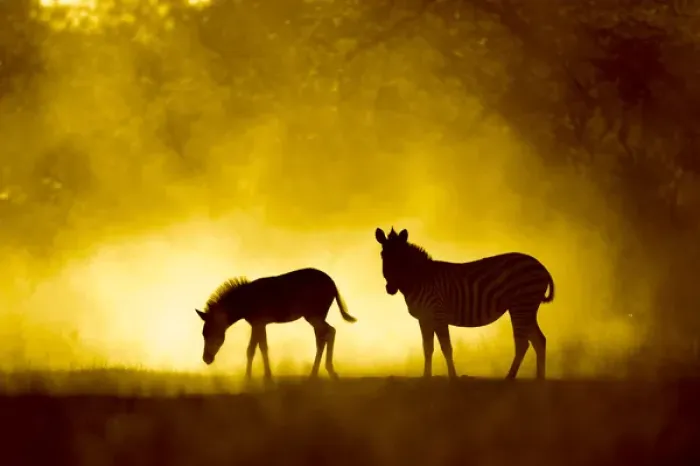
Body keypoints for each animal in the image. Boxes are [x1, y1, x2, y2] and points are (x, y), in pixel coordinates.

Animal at [195, 267, 357, 382]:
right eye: (203, 334)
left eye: (210, 333)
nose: (206, 359)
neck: (246, 299)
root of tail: (332, 283)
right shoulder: (258, 324)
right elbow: (256, 349)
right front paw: (256, 377)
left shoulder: (259, 323)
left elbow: (257, 349)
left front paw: (259, 378)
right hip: (316, 316)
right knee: (323, 337)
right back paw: (315, 374)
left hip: (314, 316)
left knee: (329, 333)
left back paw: (327, 372)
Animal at [375, 227, 555, 380]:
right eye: (383, 255)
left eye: (401, 258)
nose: (390, 288)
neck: (420, 278)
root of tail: (541, 265)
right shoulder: (424, 318)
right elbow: (427, 348)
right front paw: (426, 377)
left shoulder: (438, 313)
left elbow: (446, 348)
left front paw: (453, 377)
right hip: (526, 307)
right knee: (539, 340)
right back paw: (540, 380)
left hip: (521, 304)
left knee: (523, 343)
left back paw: (509, 378)